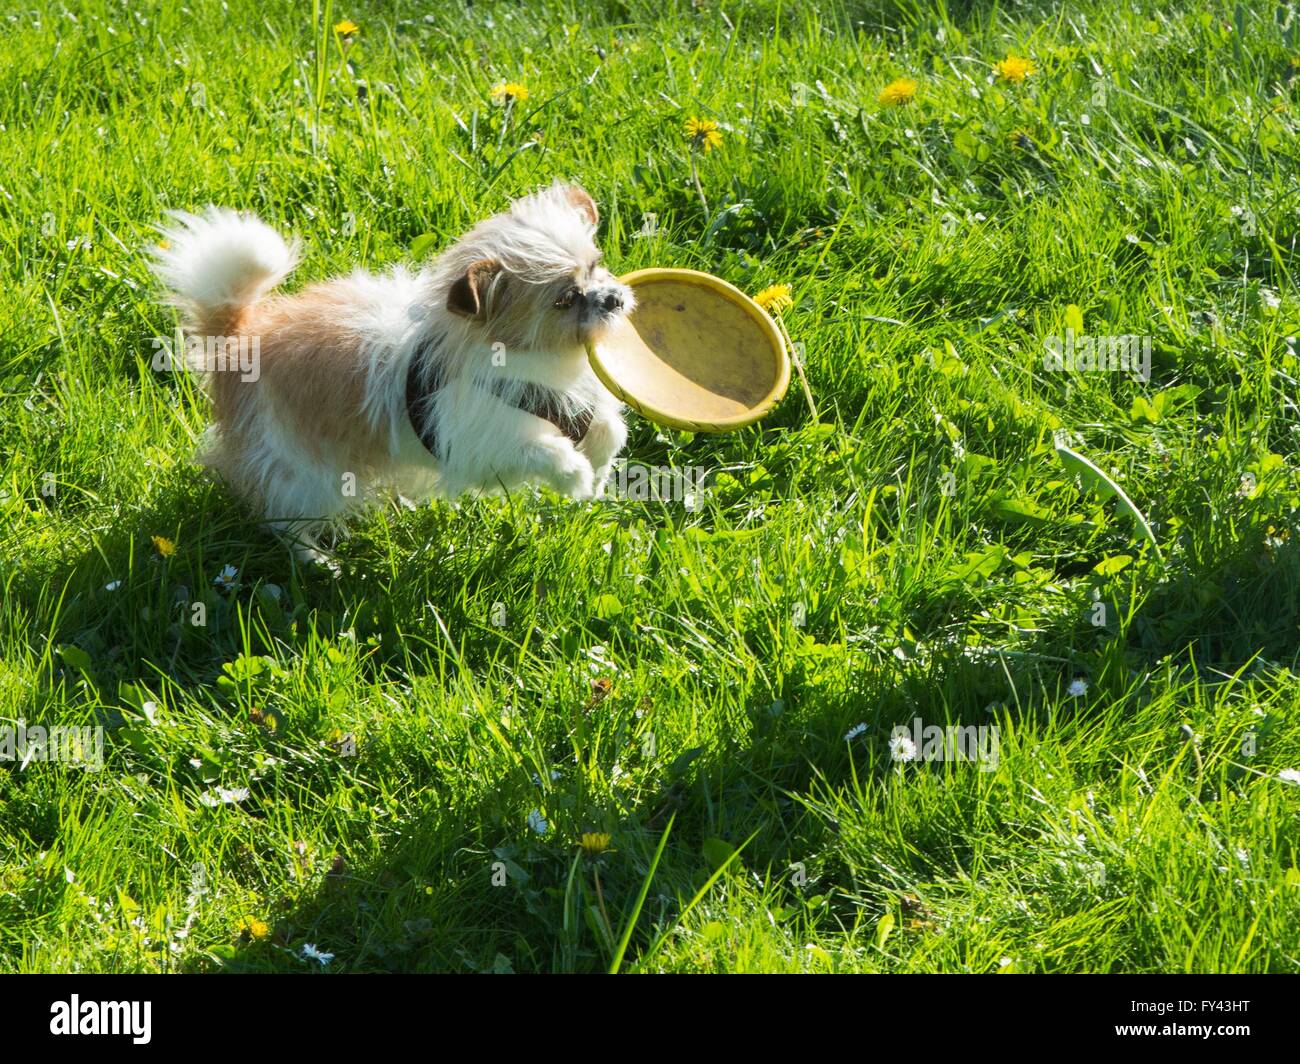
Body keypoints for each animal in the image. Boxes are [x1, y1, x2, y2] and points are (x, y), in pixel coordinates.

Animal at [154, 182, 631, 559]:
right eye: (564, 300)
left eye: (595, 266)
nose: (615, 299)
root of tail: (240, 339)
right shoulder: (476, 443)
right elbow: (540, 450)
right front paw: (575, 477)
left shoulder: (570, 401)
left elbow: (609, 429)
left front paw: (599, 471)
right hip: (301, 468)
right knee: (282, 518)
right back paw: (317, 560)